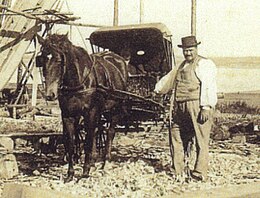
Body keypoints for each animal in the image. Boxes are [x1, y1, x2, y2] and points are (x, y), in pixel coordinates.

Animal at [37, 34, 128, 183]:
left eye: (59, 60)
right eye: (42, 59)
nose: (50, 94)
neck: (78, 81)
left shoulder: (91, 112)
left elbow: (87, 142)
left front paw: (85, 172)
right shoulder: (67, 115)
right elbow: (70, 143)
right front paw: (70, 174)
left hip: (115, 109)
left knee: (110, 132)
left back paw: (106, 161)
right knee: (98, 130)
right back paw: (94, 160)